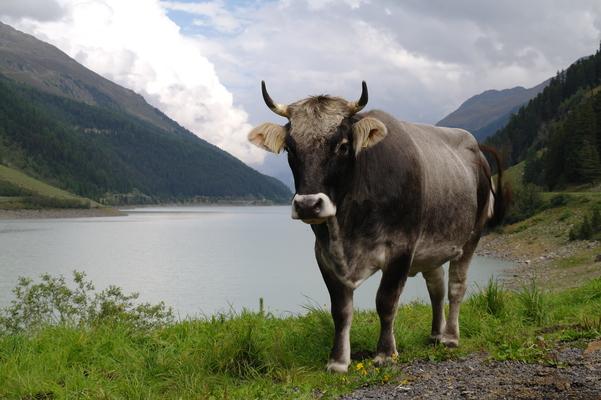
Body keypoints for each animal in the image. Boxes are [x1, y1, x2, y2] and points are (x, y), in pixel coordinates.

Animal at [247, 80, 506, 372]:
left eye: (343, 146)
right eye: (290, 149)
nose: (308, 205)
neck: (347, 230)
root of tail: (476, 148)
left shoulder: (401, 248)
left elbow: (386, 301)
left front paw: (385, 353)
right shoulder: (323, 254)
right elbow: (340, 310)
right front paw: (338, 361)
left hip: (472, 234)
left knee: (456, 286)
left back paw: (450, 337)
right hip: (431, 247)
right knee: (436, 287)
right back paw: (435, 335)